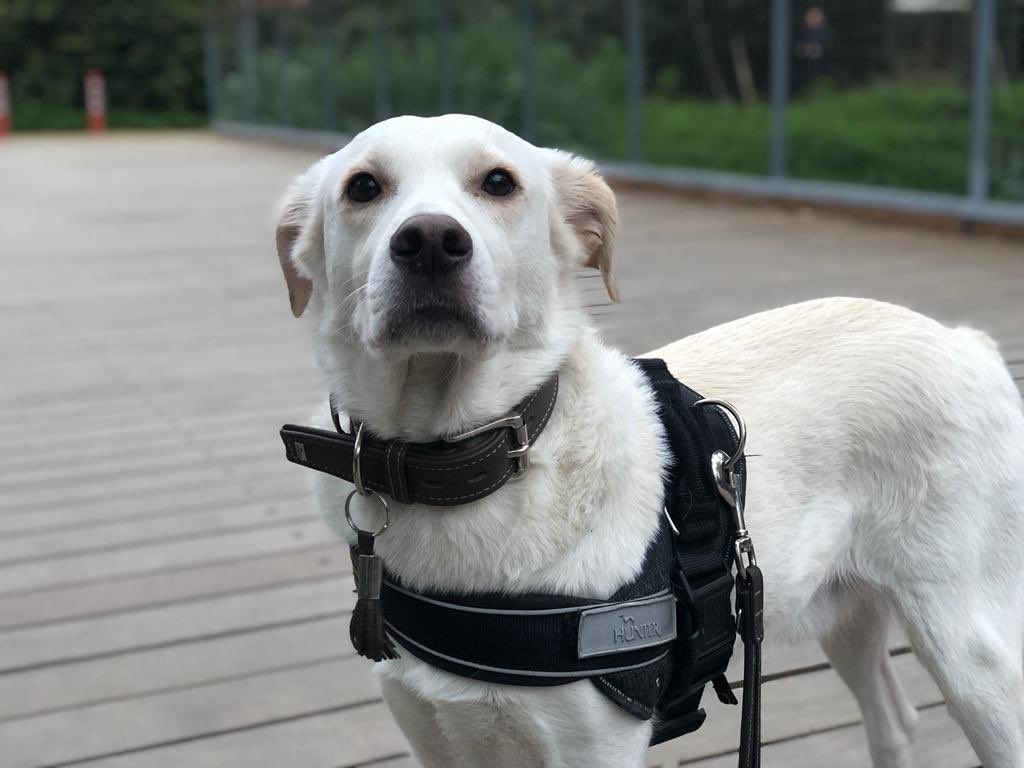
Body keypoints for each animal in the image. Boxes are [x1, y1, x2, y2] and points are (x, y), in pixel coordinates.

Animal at [276, 114, 1024, 768]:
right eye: (363, 187)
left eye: (498, 182)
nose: (430, 241)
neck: (471, 465)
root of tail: (967, 342)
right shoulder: (437, 735)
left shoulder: (595, 747)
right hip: (847, 612)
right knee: (895, 721)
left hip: (970, 648)